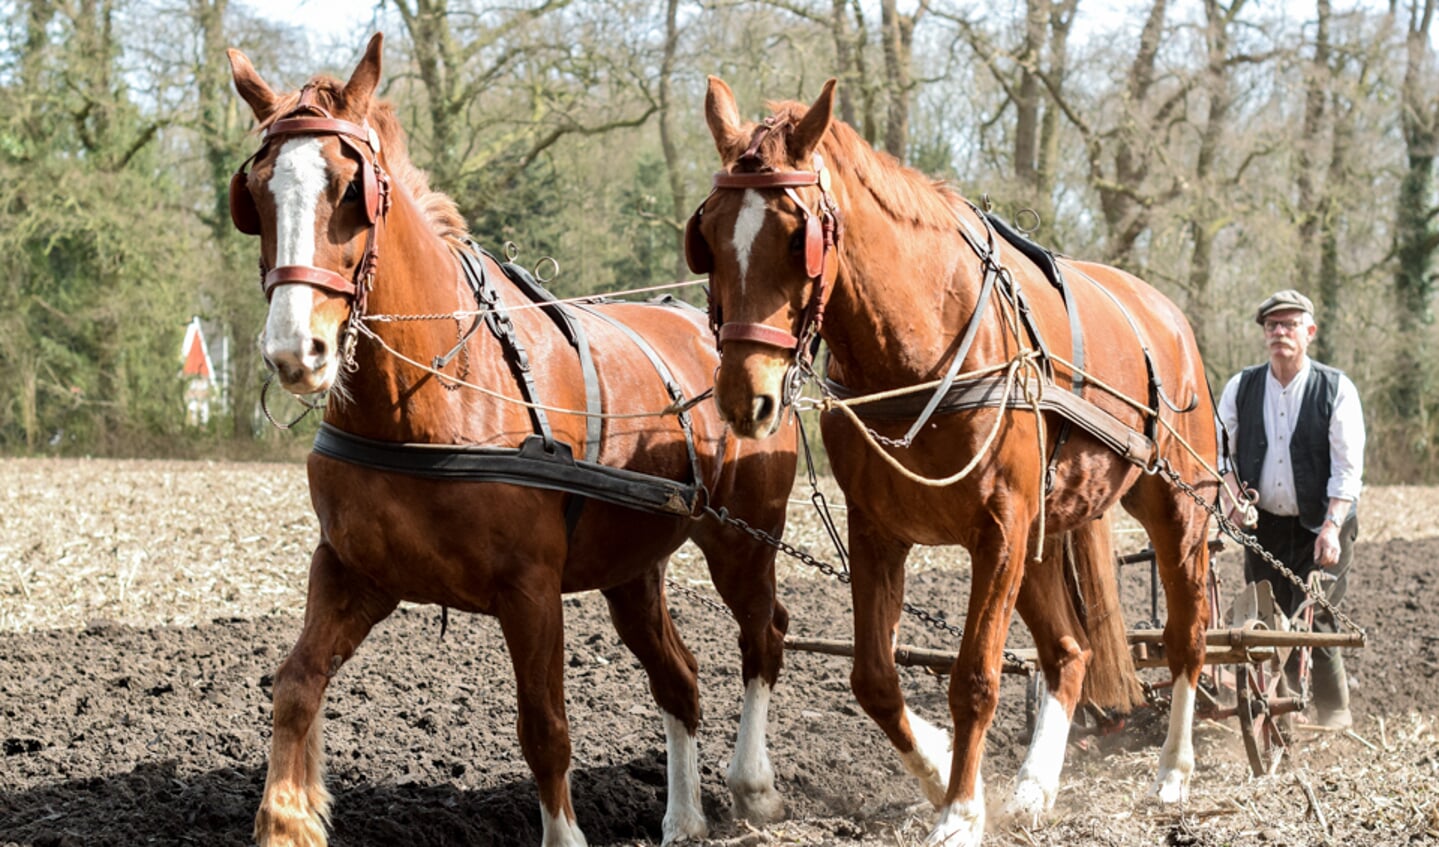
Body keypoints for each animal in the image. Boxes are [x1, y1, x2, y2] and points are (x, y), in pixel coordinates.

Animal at [231, 37, 805, 845]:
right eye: (255, 193)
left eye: (350, 191)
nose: (295, 351)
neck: (433, 392)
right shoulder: (353, 570)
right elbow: (295, 684)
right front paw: (287, 818)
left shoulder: (530, 589)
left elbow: (545, 729)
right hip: (630, 569)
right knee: (679, 675)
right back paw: (683, 818)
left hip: (743, 540)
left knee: (763, 636)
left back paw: (753, 786)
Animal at [690, 75, 1220, 839]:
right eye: (707, 234)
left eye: (798, 237)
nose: (744, 396)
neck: (917, 352)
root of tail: (1164, 314)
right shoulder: (878, 530)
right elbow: (873, 678)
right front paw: (941, 769)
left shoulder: (996, 529)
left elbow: (974, 676)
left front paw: (961, 812)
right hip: (1041, 539)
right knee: (1069, 653)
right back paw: (1034, 786)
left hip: (1178, 510)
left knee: (1186, 637)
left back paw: (1173, 773)